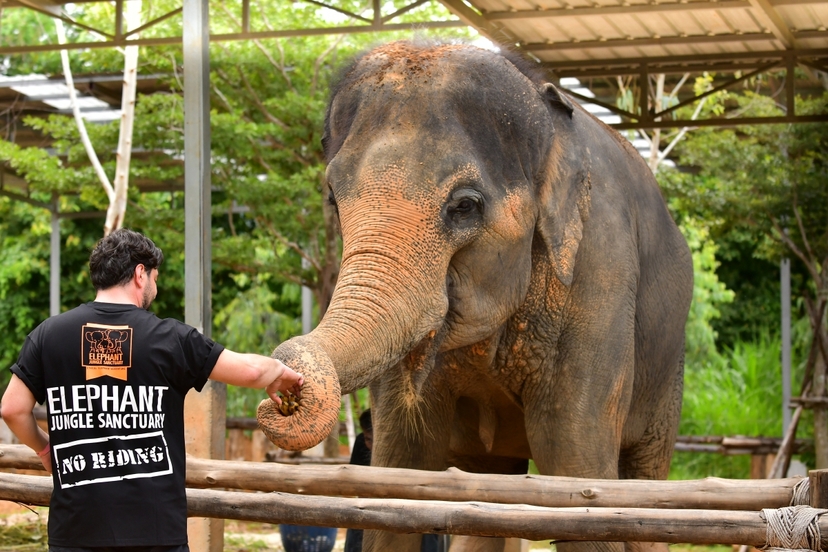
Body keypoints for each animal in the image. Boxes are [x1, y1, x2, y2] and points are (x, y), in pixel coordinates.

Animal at [258, 40, 694, 552]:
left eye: (465, 206)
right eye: (332, 197)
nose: (281, 395)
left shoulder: (599, 269)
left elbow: (574, 459)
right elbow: (402, 458)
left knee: (643, 475)